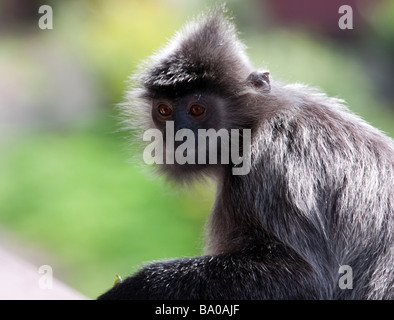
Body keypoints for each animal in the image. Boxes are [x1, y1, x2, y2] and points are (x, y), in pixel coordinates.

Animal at [97, 5, 390, 300]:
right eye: (164, 110)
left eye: (197, 110)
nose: (178, 135)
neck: (253, 124)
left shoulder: (272, 165)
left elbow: (307, 277)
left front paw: (137, 286)